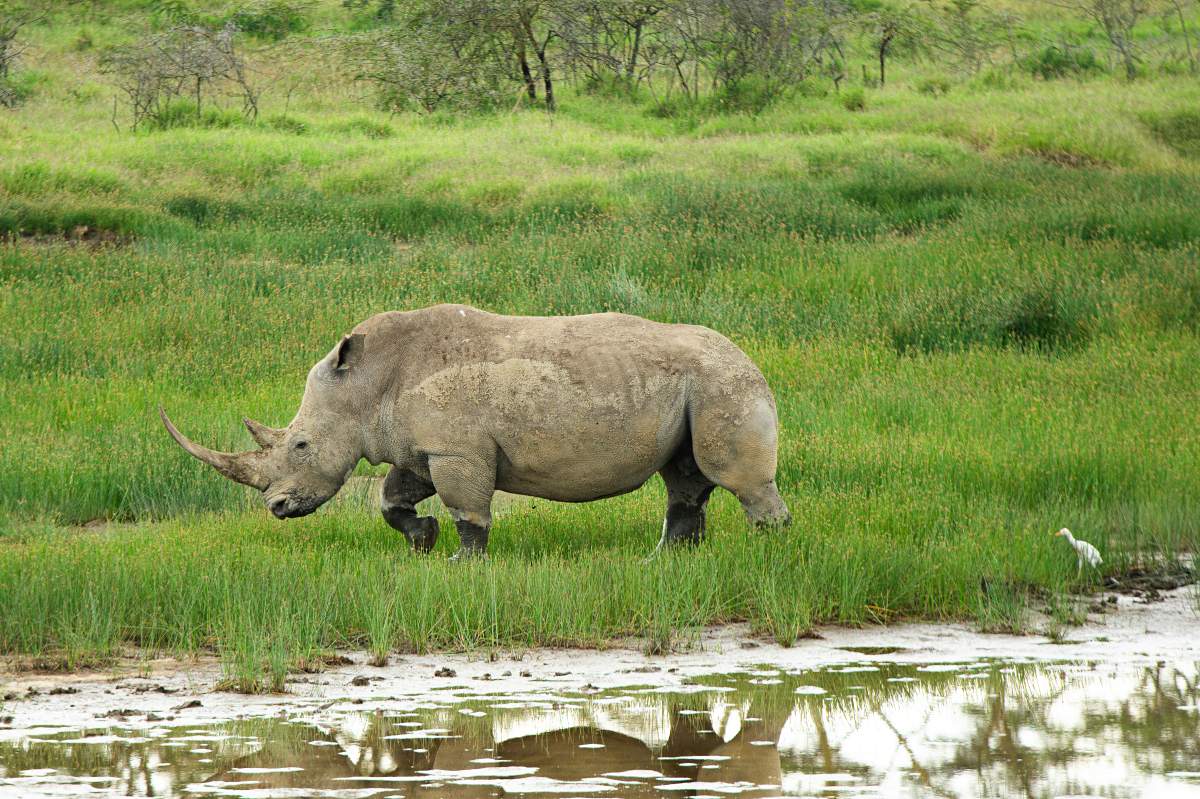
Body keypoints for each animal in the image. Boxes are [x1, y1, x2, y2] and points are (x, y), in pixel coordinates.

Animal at [161, 304, 790, 557]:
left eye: (300, 445)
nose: (277, 508)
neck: (366, 388)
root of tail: (750, 357)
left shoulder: (456, 451)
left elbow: (469, 509)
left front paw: (462, 563)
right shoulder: (421, 449)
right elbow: (392, 499)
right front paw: (423, 539)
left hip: (723, 382)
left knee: (732, 475)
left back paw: (766, 554)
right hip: (695, 383)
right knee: (683, 476)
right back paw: (662, 561)